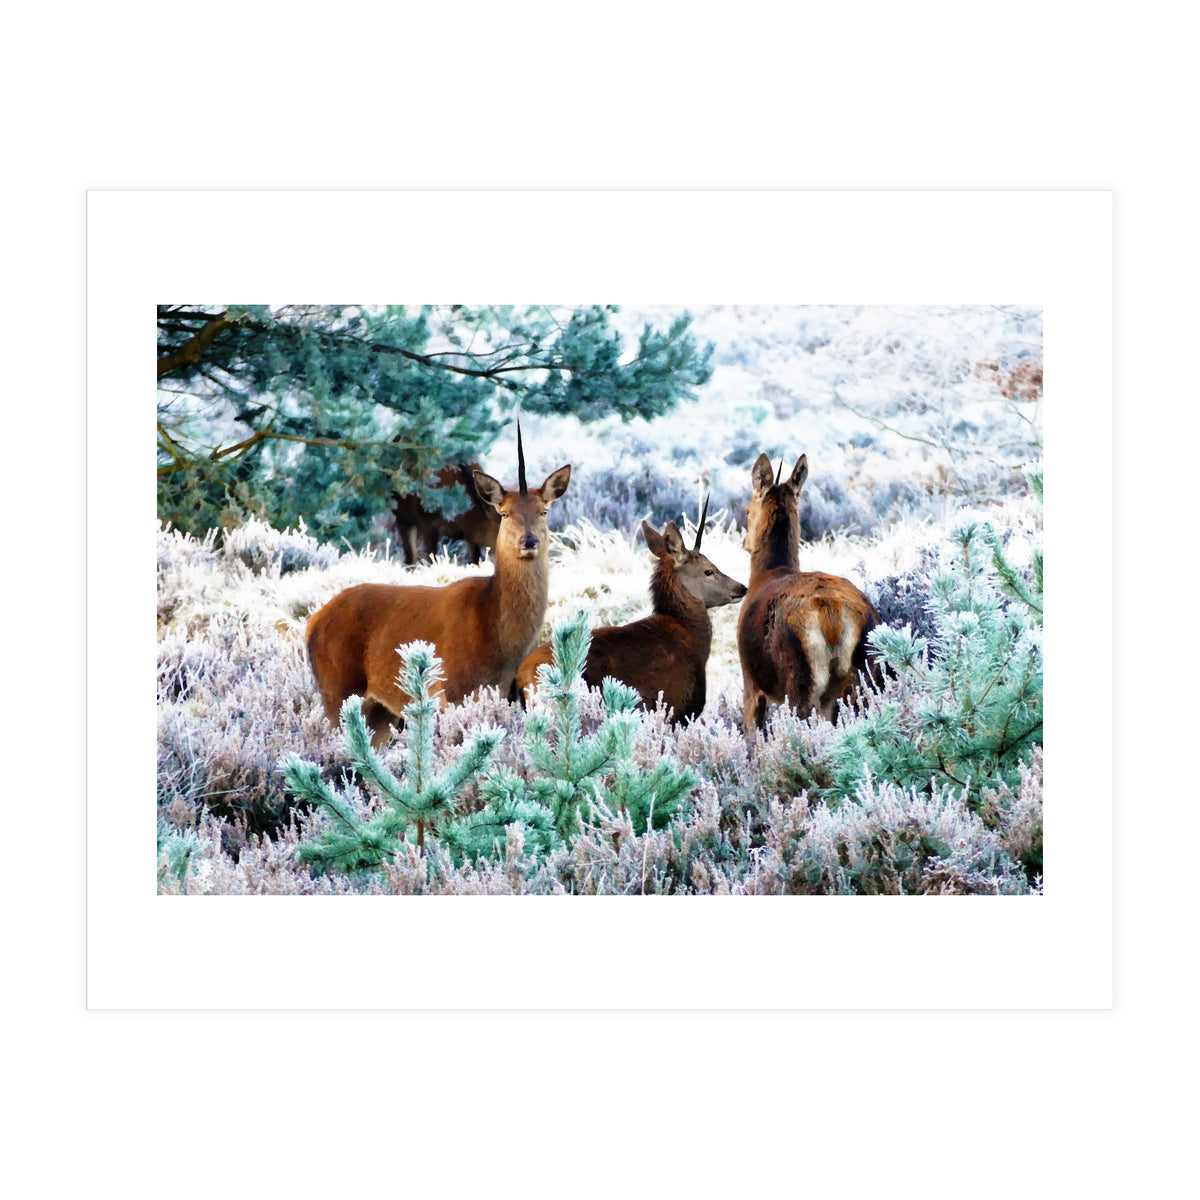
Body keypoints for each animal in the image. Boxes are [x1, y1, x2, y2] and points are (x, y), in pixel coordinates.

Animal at [307, 425, 570, 747]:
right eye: (505, 512)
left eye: (544, 511)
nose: (529, 540)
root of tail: (312, 624)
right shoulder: (451, 690)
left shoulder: (507, 694)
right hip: (338, 687)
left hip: (379, 711)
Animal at [737, 452, 880, 733]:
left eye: (747, 510)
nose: (745, 542)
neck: (765, 574)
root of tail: (833, 614)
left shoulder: (750, 681)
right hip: (868, 669)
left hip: (800, 677)